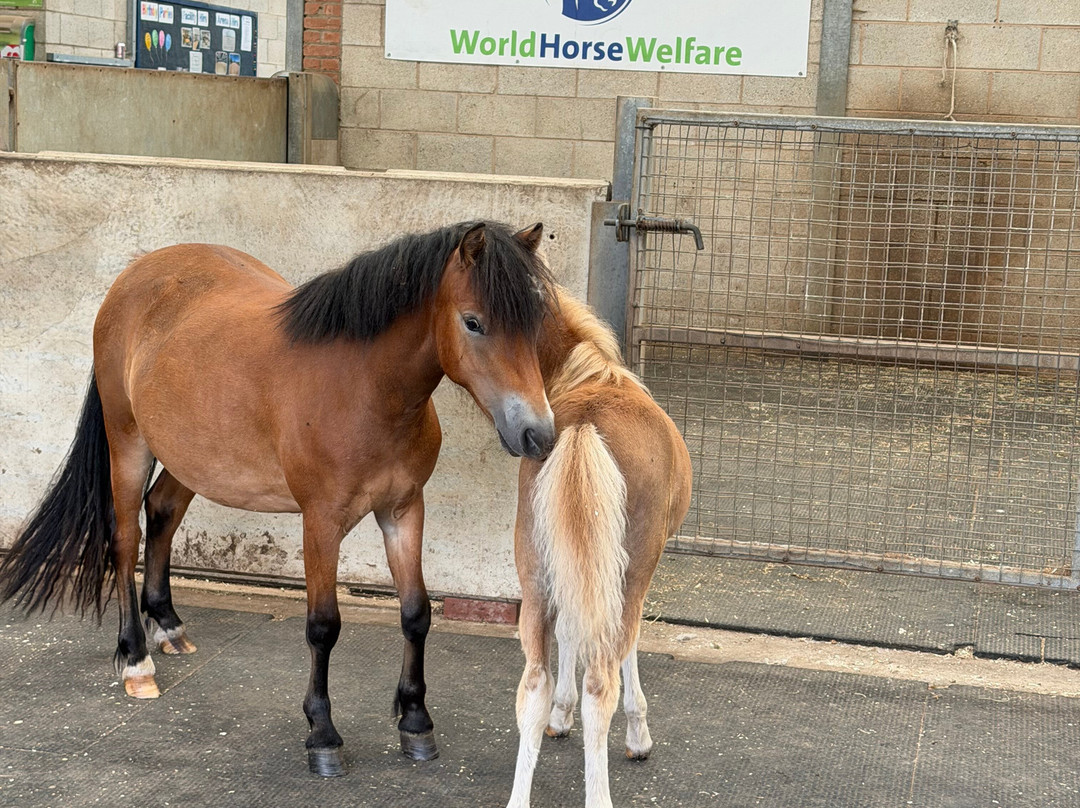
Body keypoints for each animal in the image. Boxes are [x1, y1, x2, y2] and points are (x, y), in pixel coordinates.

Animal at [0, 221, 557, 777]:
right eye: (473, 322)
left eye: (537, 324)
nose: (538, 434)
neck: (362, 387)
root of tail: (134, 277)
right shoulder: (321, 522)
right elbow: (323, 626)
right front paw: (323, 735)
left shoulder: (403, 511)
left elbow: (416, 614)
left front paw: (416, 722)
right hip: (129, 442)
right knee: (123, 539)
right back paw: (136, 660)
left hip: (193, 457)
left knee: (162, 514)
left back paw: (169, 625)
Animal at [505, 288, 692, 808]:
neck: (593, 374)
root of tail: (585, 426)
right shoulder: (631, 573)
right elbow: (628, 646)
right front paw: (638, 736)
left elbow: (571, 631)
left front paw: (559, 716)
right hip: (630, 570)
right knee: (601, 682)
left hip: (537, 572)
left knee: (533, 684)